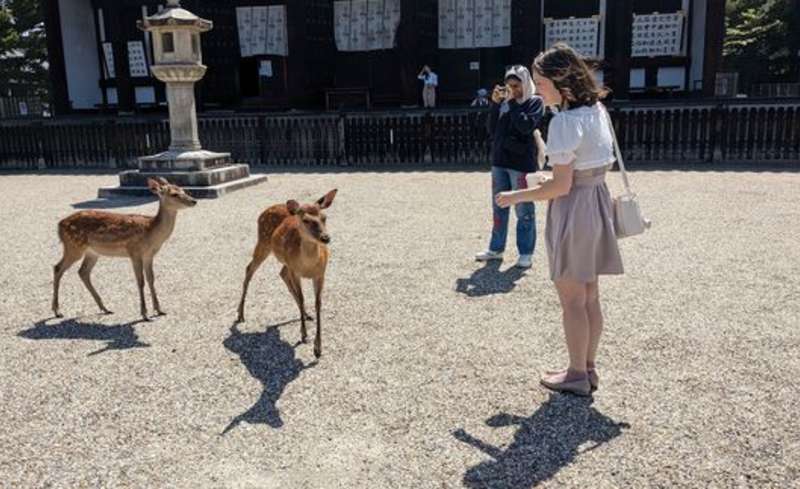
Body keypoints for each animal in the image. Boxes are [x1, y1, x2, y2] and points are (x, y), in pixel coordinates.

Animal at [52, 177, 197, 321]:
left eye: (184, 190)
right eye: (174, 194)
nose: (193, 201)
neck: (151, 232)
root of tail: (59, 225)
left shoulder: (149, 255)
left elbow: (151, 279)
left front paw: (159, 310)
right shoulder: (134, 251)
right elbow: (140, 281)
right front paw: (144, 313)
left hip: (92, 252)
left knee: (83, 272)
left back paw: (105, 308)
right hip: (73, 246)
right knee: (58, 268)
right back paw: (57, 311)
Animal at [236, 189, 338, 358]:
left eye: (324, 217)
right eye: (306, 220)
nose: (325, 238)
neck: (308, 266)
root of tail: (264, 211)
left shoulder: (321, 273)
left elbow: (318, 303)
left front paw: (318, 348)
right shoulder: (295, 271)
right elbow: (302, 298)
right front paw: (304, 335)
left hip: (283, 259)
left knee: (281, 273)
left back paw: (306, 314)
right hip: (263, 242)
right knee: (249, 268)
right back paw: (240, 314)